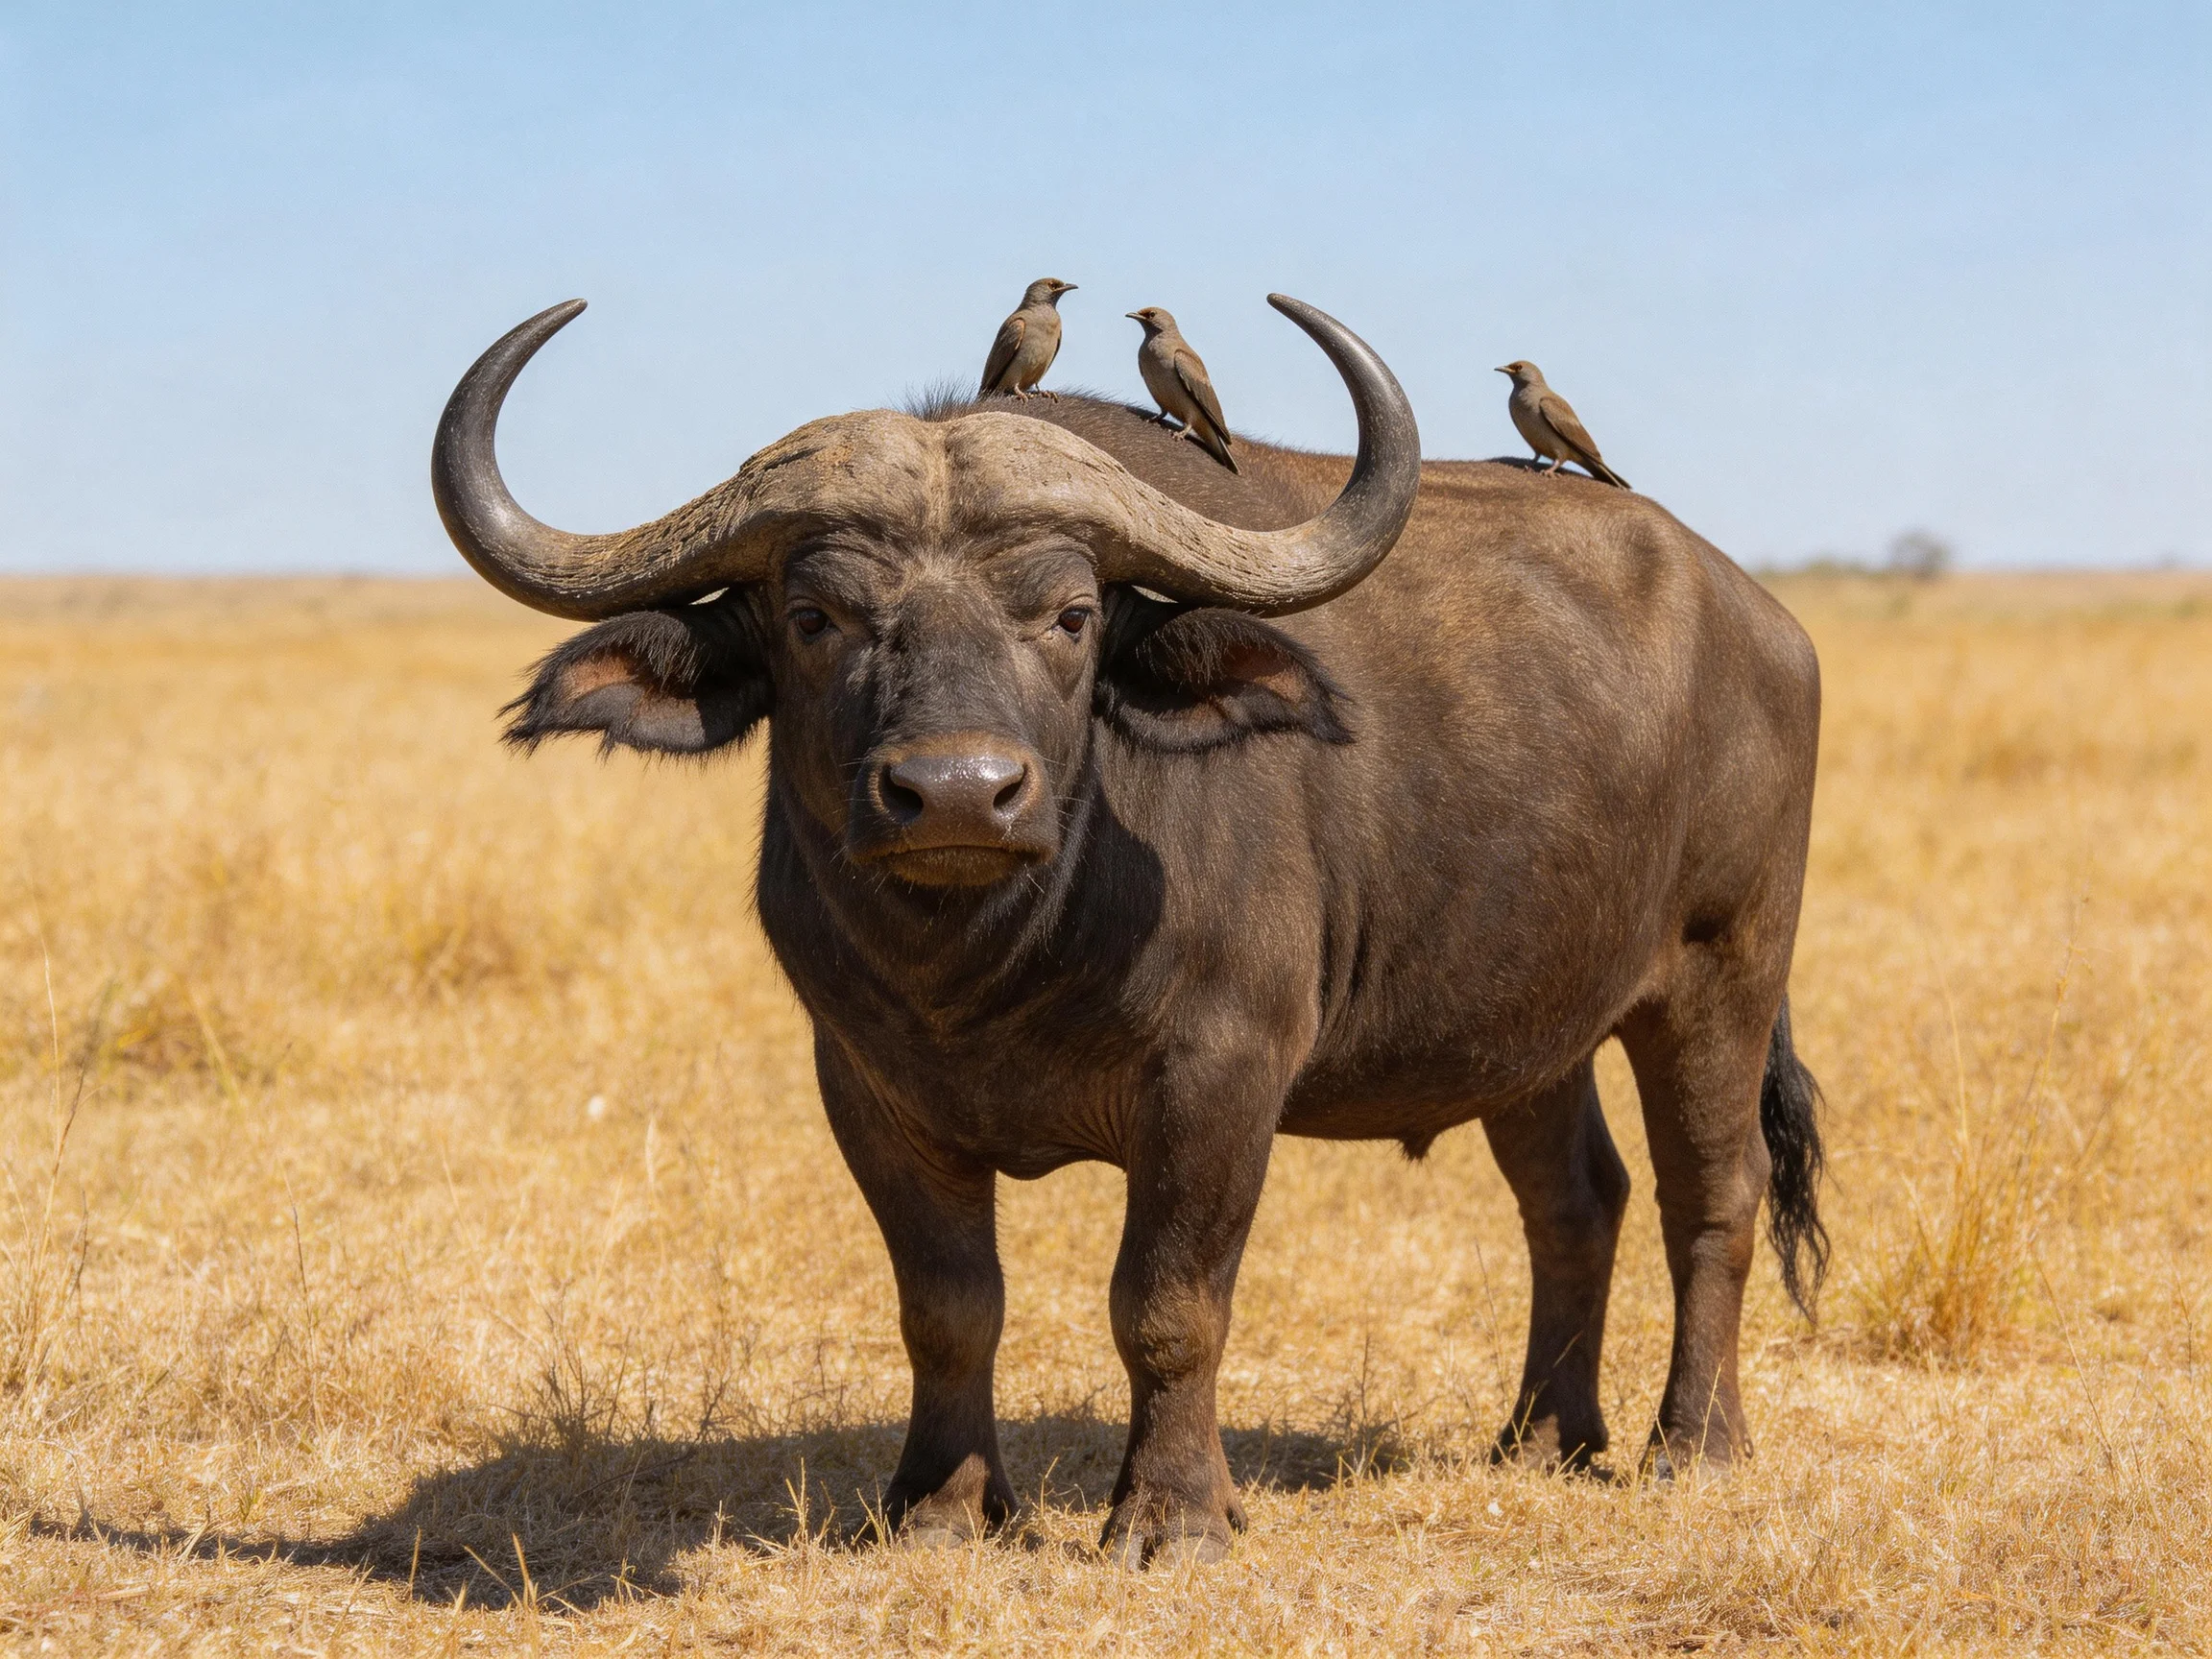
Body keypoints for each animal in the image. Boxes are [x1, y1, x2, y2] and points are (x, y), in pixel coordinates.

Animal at [432, 294, 1826, 1567]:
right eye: (813, 618)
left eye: (1072, 616)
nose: (957, 793)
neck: (995, 962)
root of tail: (1759, 616)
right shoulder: (868, 1090)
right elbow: (948, 1306)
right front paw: (942, 1508)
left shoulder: (1220, 1078)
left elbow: (1166, 1307)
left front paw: (1170, 1516)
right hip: (1528, 1027)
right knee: (1576, 1201)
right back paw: (1542, 1439)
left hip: (1724, 969)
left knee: (1714, 1193)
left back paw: (1693, 1444)